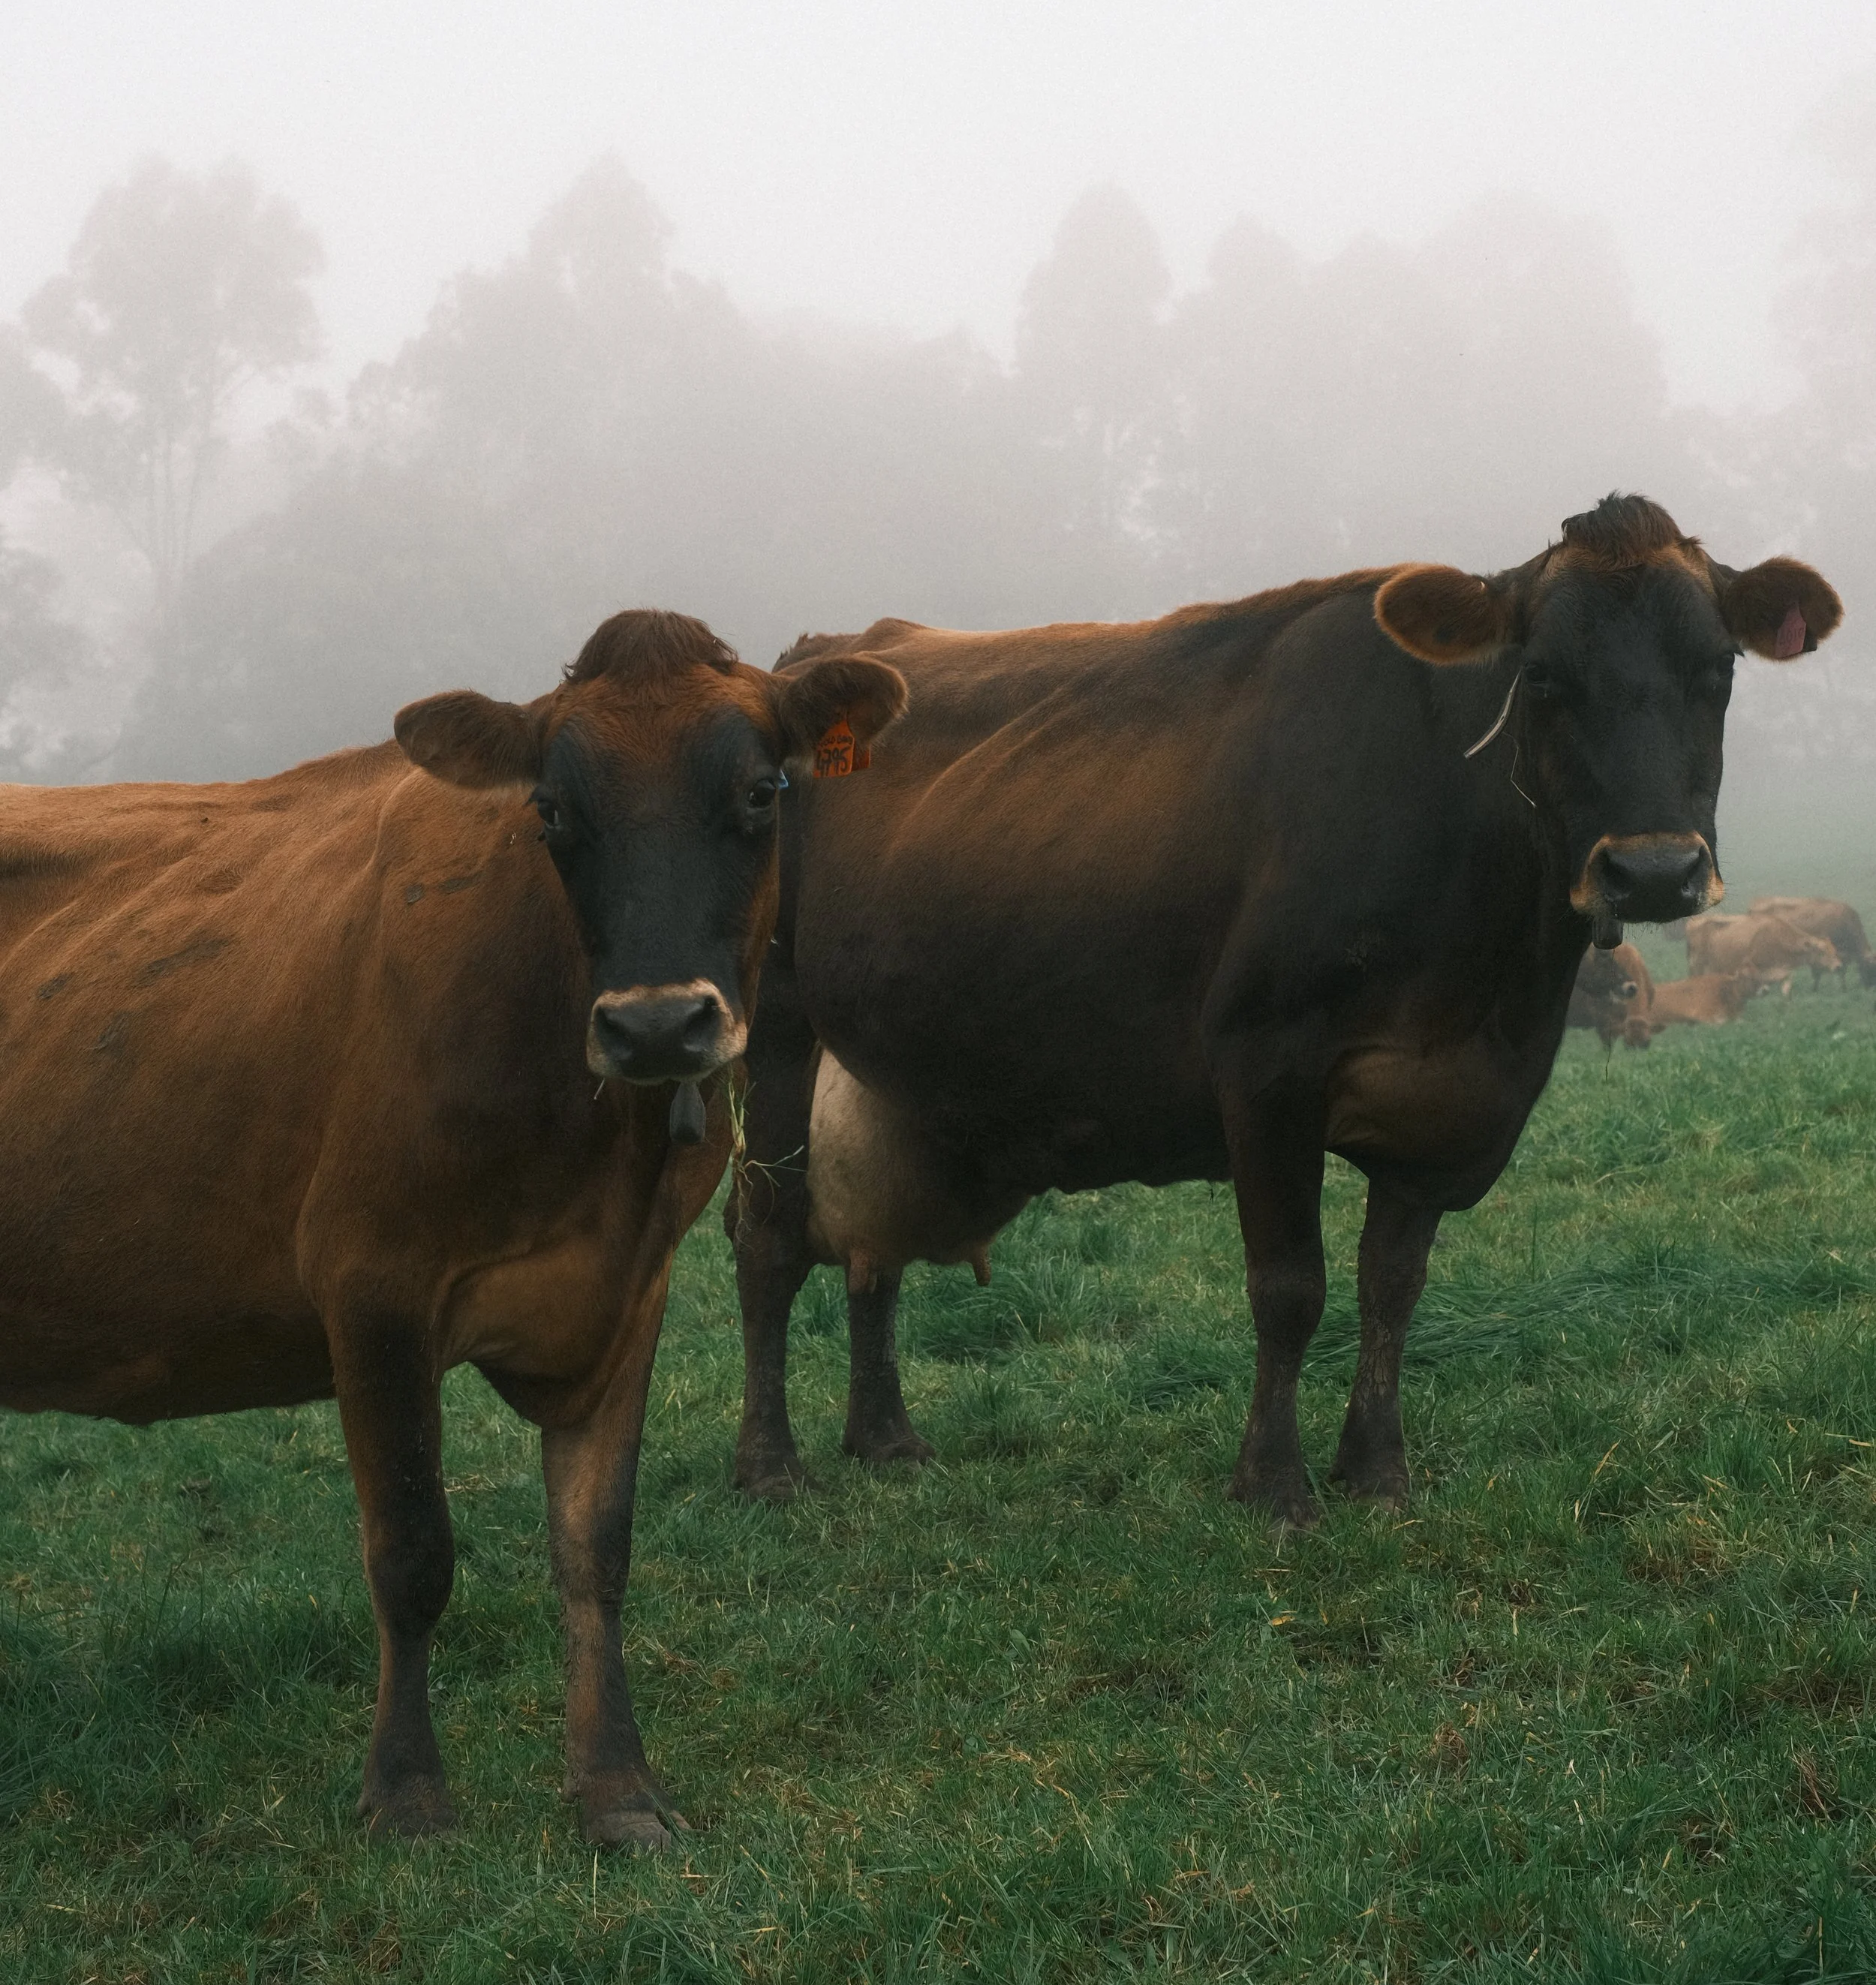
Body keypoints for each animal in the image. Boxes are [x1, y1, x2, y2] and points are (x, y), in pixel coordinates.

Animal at [0, 609, 906, 1846]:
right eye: (553, 810)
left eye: (763, 790)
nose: (656, 1025)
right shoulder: (370, 1283)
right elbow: (413, 1553)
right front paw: (408, 1792)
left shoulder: (630, 1289)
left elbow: (596, 1548)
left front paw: (617, 1786)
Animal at [1684, 911, 1839, 994]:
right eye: (1822, 951)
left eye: (1833, 949)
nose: (1838, 966)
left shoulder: (1784, 971)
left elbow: (1786, 991)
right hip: (1698, 965)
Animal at [1747, 896, 1876, 989]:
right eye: (1870, 968)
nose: (1870, 987)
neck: (1845, 922)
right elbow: (1819, 972)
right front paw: (1816, 989)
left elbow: (1840, 971)